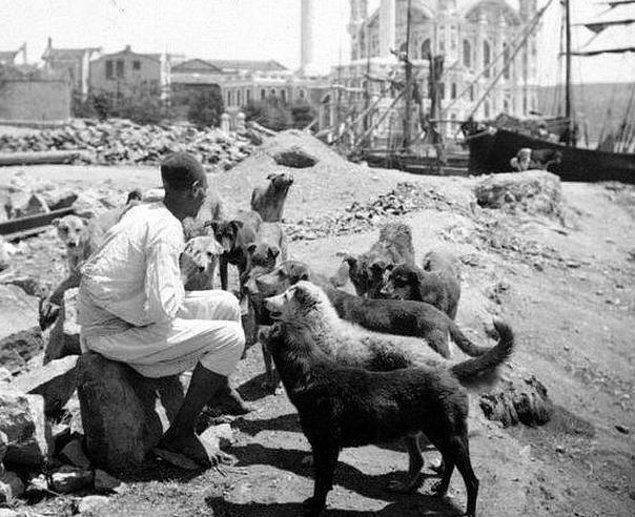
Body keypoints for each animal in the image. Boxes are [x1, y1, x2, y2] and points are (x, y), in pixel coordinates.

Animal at [264, 282, 516, 516]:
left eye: (285, 294)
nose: (264, 300)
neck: (324, 331)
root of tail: (445, 368)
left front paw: (309, 461)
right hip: (416, 430)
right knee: (427, 461)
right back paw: (425, 485)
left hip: (436, 430)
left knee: (435, 461)